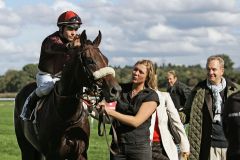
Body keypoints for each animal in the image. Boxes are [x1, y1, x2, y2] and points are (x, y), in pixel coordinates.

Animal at [14, 30, 121, 160]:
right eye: (90, 60)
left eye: (106, 59)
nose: (115, 90)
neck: (67, 116)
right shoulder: (52, 155)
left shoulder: (80, 153)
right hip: (26, 147)